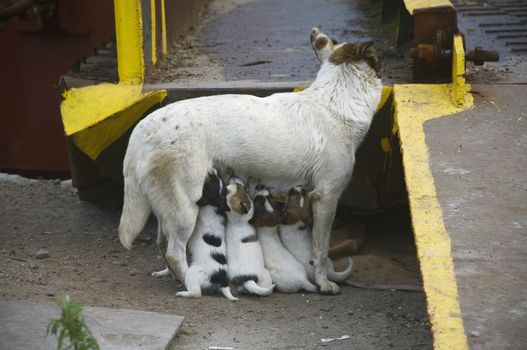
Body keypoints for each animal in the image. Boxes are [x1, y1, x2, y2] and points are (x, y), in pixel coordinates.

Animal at [118, 28, 382, 296]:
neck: (334, 102)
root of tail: (142, 128)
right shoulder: (327, 198)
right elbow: (321, 250)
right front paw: (324, 283)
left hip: (168, 205)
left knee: (163, 243)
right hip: (186, 208)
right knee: (174, 251)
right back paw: (189, 282)